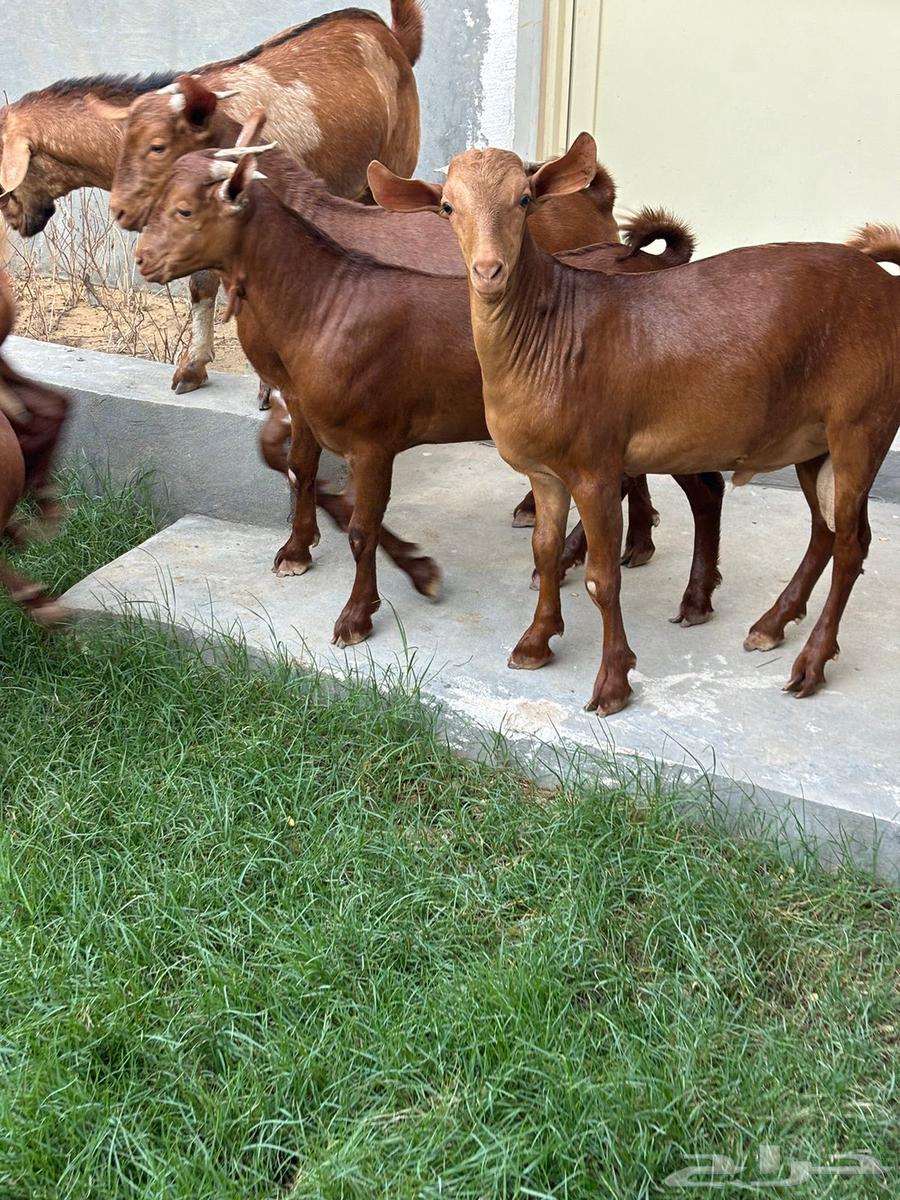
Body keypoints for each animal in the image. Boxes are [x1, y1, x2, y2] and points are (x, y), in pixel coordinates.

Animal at [0, 2, 424, 394]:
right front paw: (192, 368)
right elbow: (202, 286)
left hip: (392, 166)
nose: (12, 215)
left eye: (157, 147)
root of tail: (388, 34)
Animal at [135, 147, 723, 649]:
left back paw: (684, 594)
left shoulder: (373, 440)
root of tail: (653, 265)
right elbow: (302, 471)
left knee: (704, 485)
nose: (142, 260)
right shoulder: (305, 410)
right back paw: (628, 552)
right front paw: (300, 552)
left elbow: (362, 527)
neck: (325, 303)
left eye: (184, 209)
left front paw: (358, 615)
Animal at [372, 134, 900, 713]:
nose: (489, 271)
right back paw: (771, 624)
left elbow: (602, 580)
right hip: (811, 441)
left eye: (525, 199)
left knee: (852, 544)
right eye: (447, 207)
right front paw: (535, 643)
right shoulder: (545, 473)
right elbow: (544, 550)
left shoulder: (595, 468)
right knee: (825, 530)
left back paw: (810, 663)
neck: (550, 335)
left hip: (862, 423)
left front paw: (612, 683)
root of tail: (888, 289)